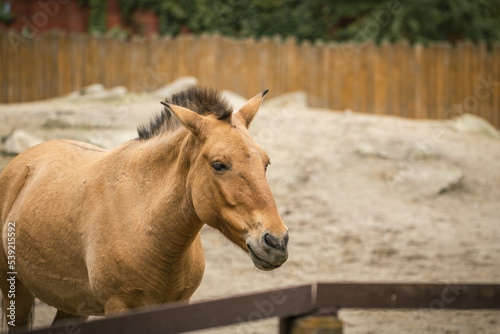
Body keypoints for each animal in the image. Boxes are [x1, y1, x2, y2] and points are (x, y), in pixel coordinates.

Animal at [0, 87, 290, 330]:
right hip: (16, 291)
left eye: (266, 162)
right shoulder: (119, 307)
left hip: (71, 304)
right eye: (219, 164)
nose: (277, 242)